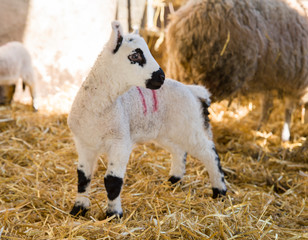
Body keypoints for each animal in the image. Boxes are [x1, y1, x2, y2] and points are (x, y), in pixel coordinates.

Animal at [68, 21, 226, 218]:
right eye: (135, 55)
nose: (161, 77)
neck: (99, 109)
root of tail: (191, 90)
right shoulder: (84, 143)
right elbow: (83, 178)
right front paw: (78, 209)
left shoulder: (120, 142)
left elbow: (113, 182)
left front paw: (114, 215)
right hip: (166, 131)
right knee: (179, 150)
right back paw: (173, 180)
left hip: (188, 126)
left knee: (209, 152)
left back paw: (219, 191)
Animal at [166, 0, 308, 142]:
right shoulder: (296, 79)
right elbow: (287, 109)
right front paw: (284, 136)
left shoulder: (280, 79)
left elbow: (275, 106)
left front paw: (268, 131)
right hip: (218, 73)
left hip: (182, 71)